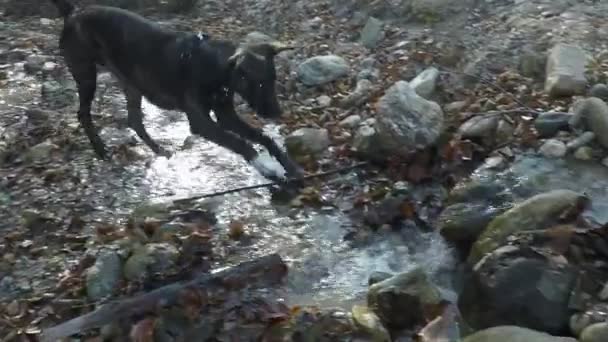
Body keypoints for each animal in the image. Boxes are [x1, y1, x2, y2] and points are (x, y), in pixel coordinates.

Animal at [47, 0, 304, 182]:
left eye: (273, 80)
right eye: (258, 83)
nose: (277, 113)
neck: (214, 66)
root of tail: (73, 12)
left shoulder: (226, 116)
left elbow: (265, 137)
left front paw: (289, 165)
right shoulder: (202, 124)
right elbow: (241, 143)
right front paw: (266, 167)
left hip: (132, 83)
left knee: (134, 120)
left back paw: (160, 150)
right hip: (86, 74)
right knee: (84, 114)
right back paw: (101, 150)